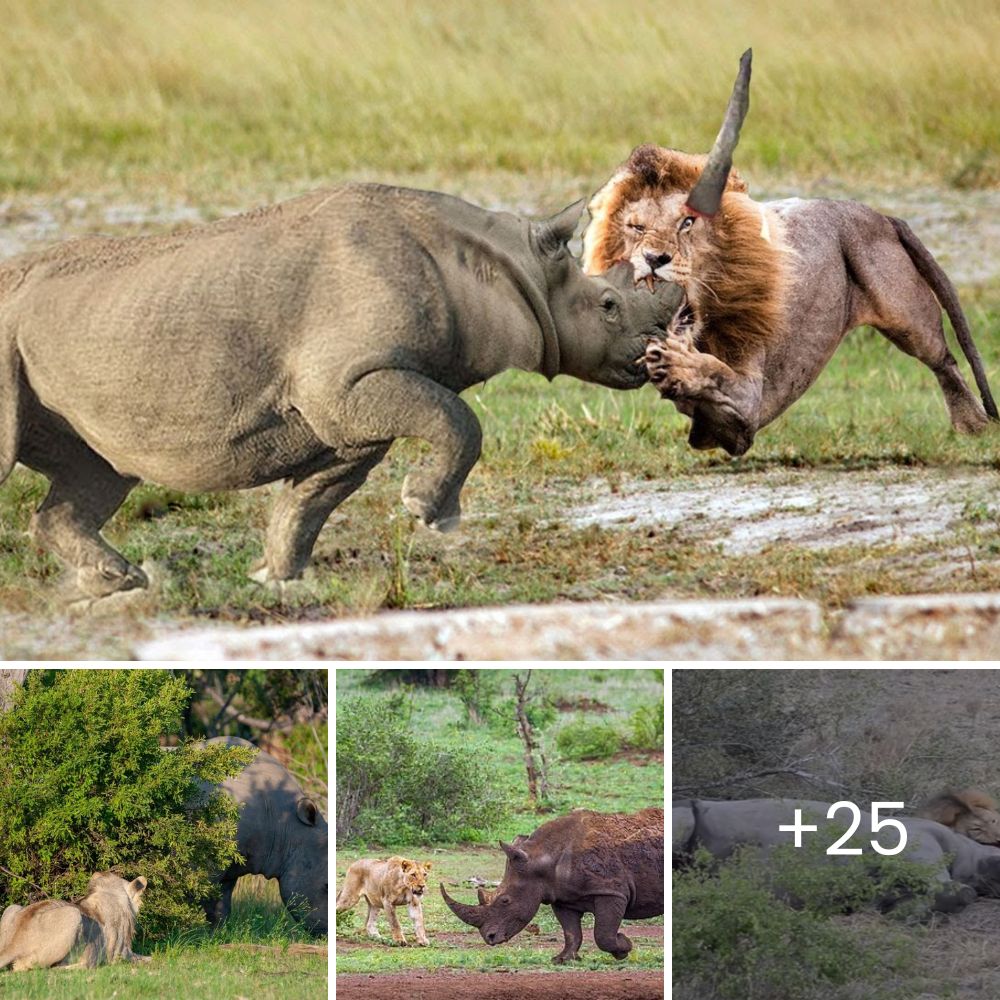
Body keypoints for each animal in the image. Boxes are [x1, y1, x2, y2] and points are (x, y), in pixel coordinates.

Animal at [440, 808, 660, 964]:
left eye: (505, 901)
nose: (489, 938)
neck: (543, 855)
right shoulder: (563, 897)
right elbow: (571, 932)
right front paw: (562, 960)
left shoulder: (610, 891)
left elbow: (603, 934)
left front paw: (624, 947)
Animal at [584, 47, 996, 454]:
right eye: (636, 228)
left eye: (687, 222)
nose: (654, 259)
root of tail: (882, 215)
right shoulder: (720, 430)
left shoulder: (748, 407)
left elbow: (715, 372)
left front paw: (673, 361)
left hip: (907, 314)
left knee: (945, 360)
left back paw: (973, 425)